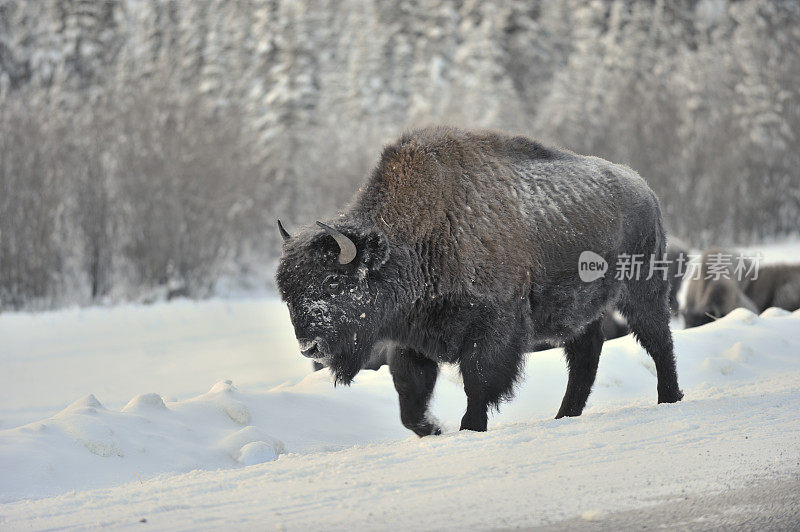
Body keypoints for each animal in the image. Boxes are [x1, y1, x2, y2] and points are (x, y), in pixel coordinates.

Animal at [276, 127, 680, 434]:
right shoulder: (411, 341)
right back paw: (565, 415)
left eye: (332, 281)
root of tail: (643, 188)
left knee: (658, 341)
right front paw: (434, 429)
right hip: (583, 310)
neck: (418, 238)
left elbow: (479, 381)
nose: (309, 347)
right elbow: (410, 401)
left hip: (641, 291)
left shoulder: (492, 329)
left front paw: (469, 427)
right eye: (286, 292)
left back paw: (670, 398)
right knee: (586, 354)